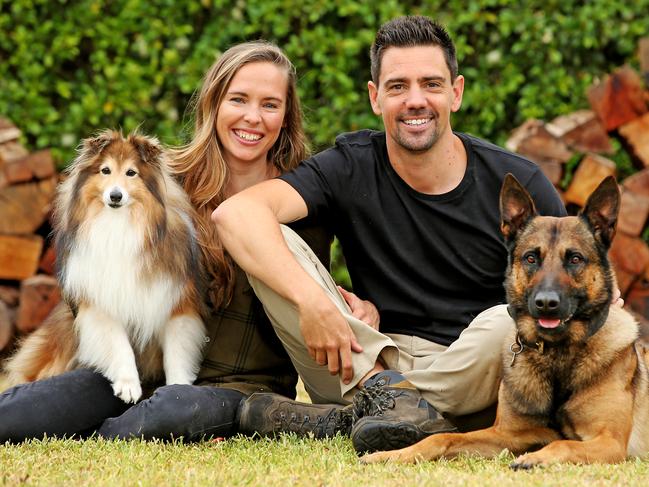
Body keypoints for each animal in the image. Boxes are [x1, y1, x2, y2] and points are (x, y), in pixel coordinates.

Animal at [3, 132, 206, 406]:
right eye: (105, 170)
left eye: (131, 173)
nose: (115, 196)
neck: (119, 225)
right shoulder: (102, 303)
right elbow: (119, 345)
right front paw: (128, 385)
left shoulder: (175, 303)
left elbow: (176, 352)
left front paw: (178, 388)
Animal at [362, 175, 648, 468]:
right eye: (531, 258)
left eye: (575, 259)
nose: (546, 303)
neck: (557, 355)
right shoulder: (506, 434)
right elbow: (442, 438)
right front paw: (392, 454)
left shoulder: (610, 443)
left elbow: (562, 442)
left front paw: (534, 458)